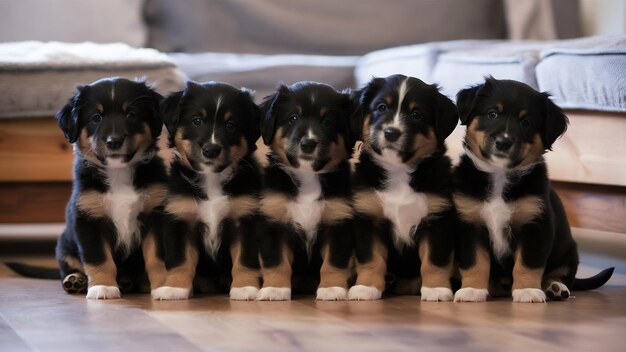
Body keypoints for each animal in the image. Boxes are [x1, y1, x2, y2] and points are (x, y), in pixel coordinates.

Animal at [54, 76, 168, 296]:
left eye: (131, 114)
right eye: (96, 117)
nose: (113, 141)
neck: (118, 173)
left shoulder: (154, 216)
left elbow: (157, 258)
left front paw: (164, 286)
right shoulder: (89, 219)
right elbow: (99, 260)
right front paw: (102, 287)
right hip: (64, 244)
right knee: (70, 265)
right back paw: (76, 280)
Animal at [152, 82, 262, 300]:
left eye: (231, 124)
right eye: (197, 121)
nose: (211, 150)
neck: (212, 179)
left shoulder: (246, 220)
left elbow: (244, 259)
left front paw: (245, 288)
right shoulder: (181, 219)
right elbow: (181, 260)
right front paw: (174, 288)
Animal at [256, 82, 356, 300]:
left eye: (327, 121)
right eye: (293, 118)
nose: (308, 143)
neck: (308, 176)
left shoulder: (337, 221)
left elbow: (333, 263)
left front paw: (332, 289)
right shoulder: (275, 221)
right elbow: (277, 262)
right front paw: (275, 290)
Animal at [352, 74, 458, 300]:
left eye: (416, 114)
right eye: (381, 107)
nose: (391, 132)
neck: (398, 171)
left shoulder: (436, 218)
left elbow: (434, 261)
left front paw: (436, 290)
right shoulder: (368, 217)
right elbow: (371, 259)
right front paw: (366, 287)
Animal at [450, 77, 612, 302]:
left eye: (525, 122)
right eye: (492, 114)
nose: (503, 142)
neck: (500, 175)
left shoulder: (535, 225)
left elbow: (527, 264)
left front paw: (527, 291)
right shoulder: (470, 224)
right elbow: (476, 262)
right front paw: (472, 290)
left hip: (569, 253)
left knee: (560, 274)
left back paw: (555, 288)